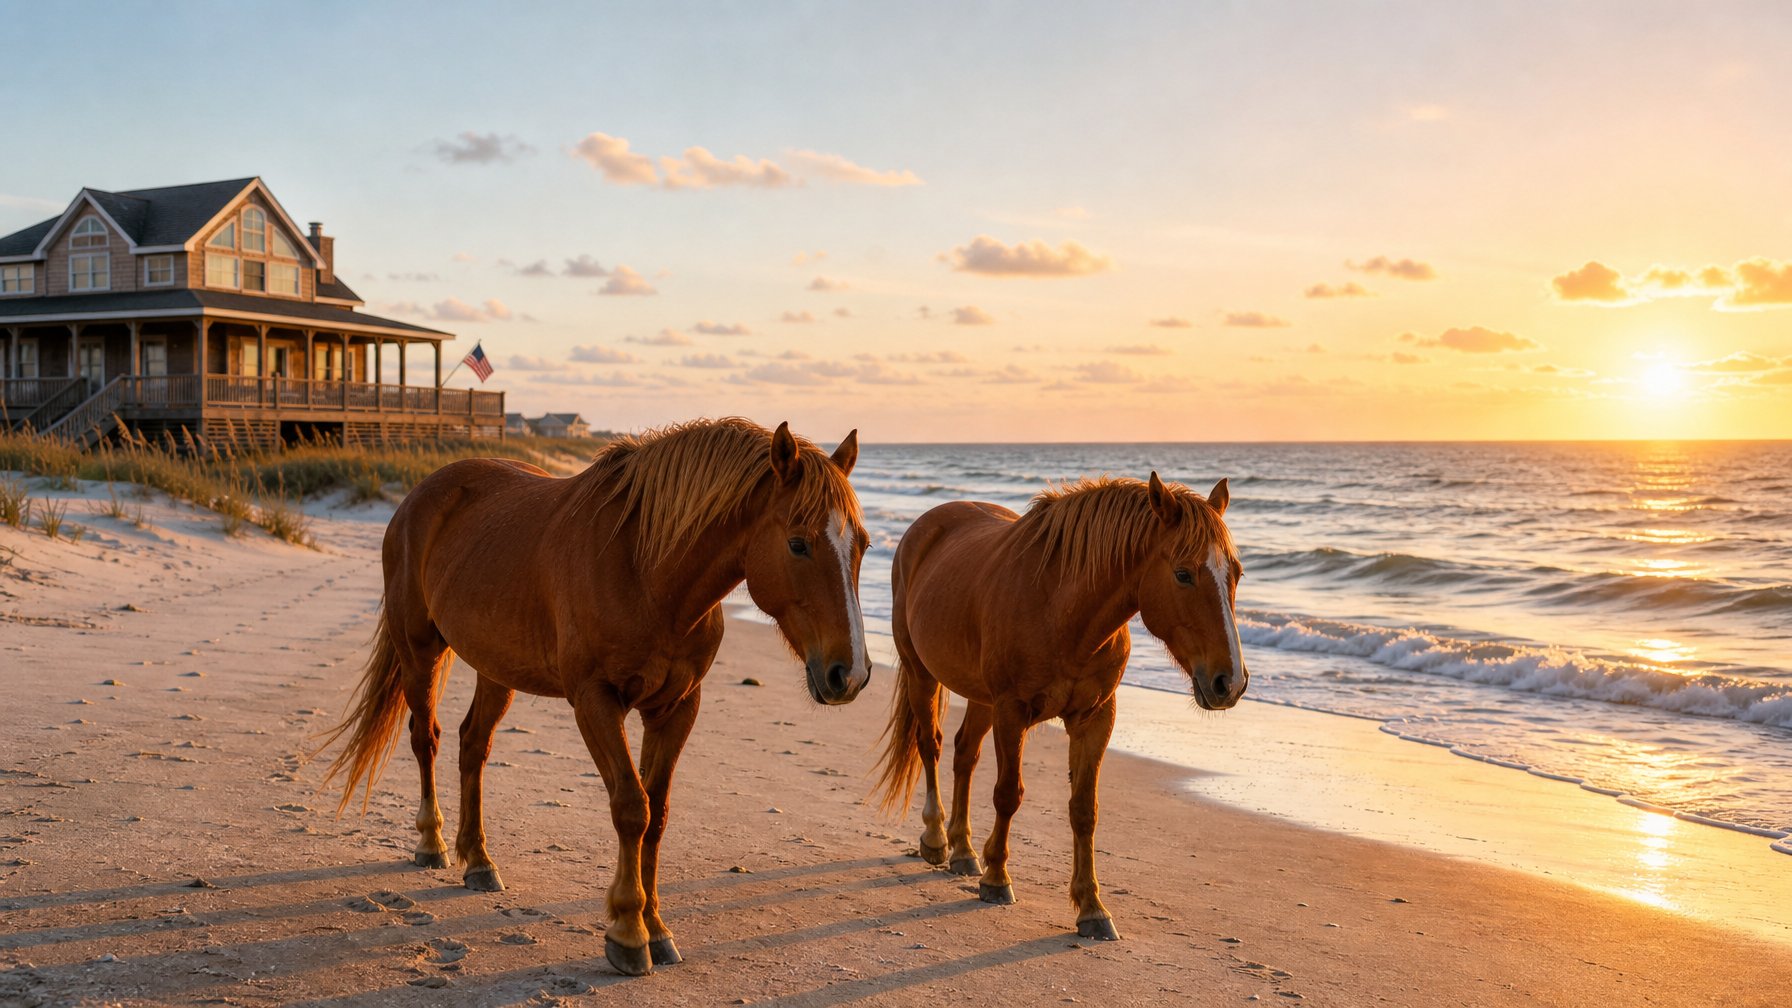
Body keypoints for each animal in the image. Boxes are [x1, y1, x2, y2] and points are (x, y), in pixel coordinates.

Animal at [314, 417, 870, 976]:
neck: (647, 572)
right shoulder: (595, 702)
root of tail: (419, 495)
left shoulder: (676, 709)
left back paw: (479, 861)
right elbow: (631, 808)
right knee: (425, 737)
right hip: (419, 653)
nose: (851, 674)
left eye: (862, 545)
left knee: (473, 746)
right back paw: (431, 842)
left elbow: (657, 814)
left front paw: (657, 927)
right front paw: (628, 932)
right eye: (798, 544)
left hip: (496, 669)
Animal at [873, 472, 1246, 941]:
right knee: (932, 746)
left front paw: (1092, 908)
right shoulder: (1012, 711)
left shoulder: (1095, 718)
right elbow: (1008, 794)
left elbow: (1084, 810)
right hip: (921, 672)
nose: (1229, 683)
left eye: (1236, 573)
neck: (1063, 612)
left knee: (964, 755)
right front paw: (997, 879)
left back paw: (963, 850)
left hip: (980, 697)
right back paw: (938, 840)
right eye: (1183, 574)